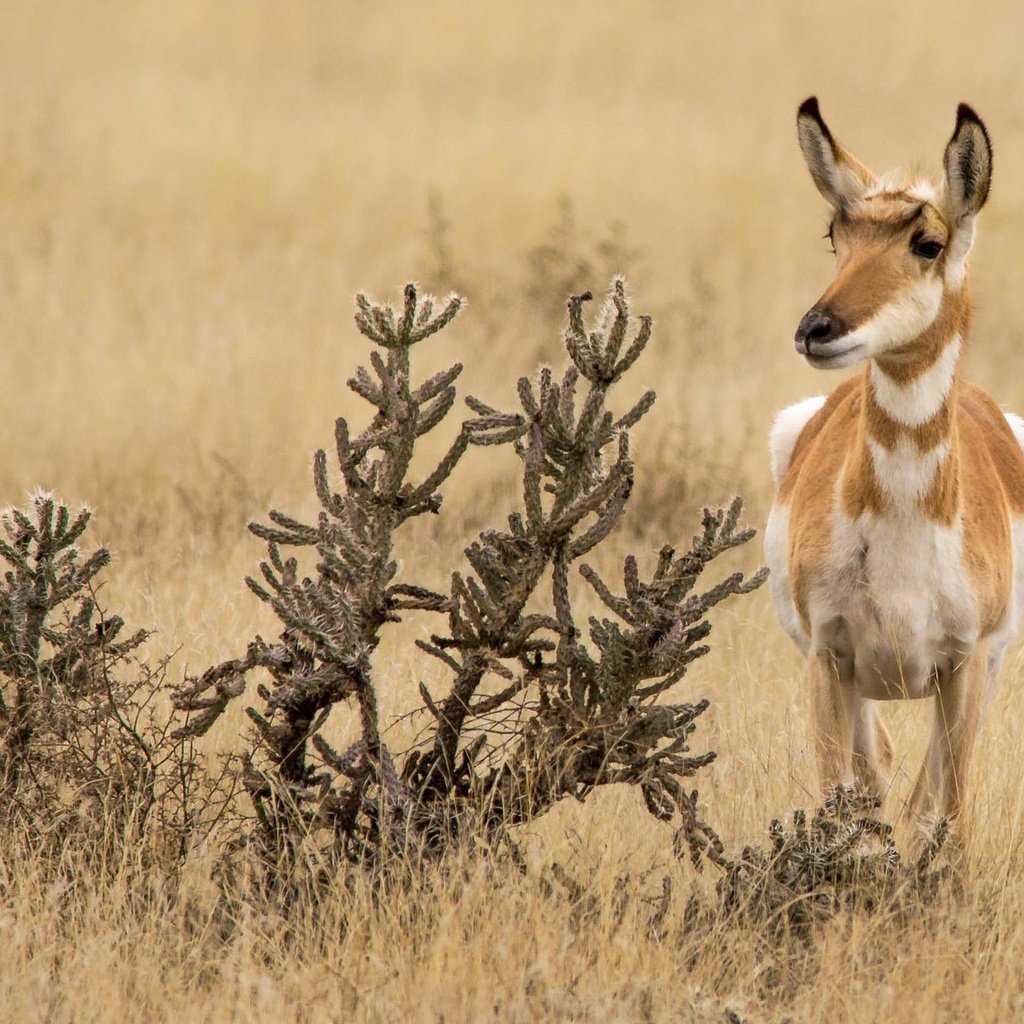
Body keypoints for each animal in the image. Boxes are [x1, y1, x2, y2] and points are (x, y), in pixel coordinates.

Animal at [765, 97, 1024, 831]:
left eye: (926, 242)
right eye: (837, 235)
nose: (817, 329)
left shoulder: (964, 665)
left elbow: (951, 816)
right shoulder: (831, 659)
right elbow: (839, 799)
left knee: (918, 793)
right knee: (876, 772)